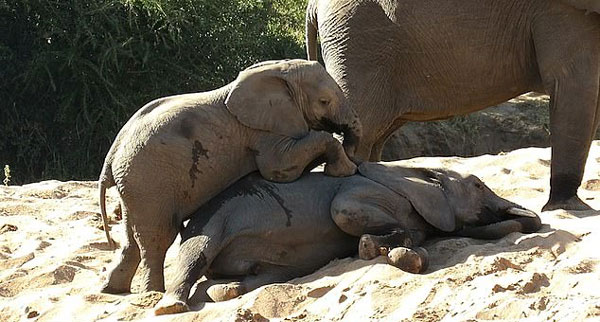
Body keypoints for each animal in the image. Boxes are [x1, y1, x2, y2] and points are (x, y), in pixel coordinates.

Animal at [98, 58, 364, 294]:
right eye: (324, 101)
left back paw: (112, 290)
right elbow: (281, 169)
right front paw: (344, 170)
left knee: (131, 237)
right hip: (149, 181)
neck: (279, 72)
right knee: (158, 237)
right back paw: (152, 293)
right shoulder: (262, 131)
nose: (354, 154)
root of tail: (111, 158)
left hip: (134, 184)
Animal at [152, 161, 540, 314]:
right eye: (477, 184)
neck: (414, 172)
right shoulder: (364, 190)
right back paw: (171, 306)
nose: (532, 221)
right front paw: (371, 248)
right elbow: (342, 210)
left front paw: (392, 252)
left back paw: (227, 291)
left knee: (262, 276)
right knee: (196, 253)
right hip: (211, 219)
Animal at [304, 0, 600, 211]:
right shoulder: (558, 10)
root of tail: (312, 6)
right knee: (356, 132)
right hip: (358, 43)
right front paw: (567, 207)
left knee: (372, 138)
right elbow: (575, 84)